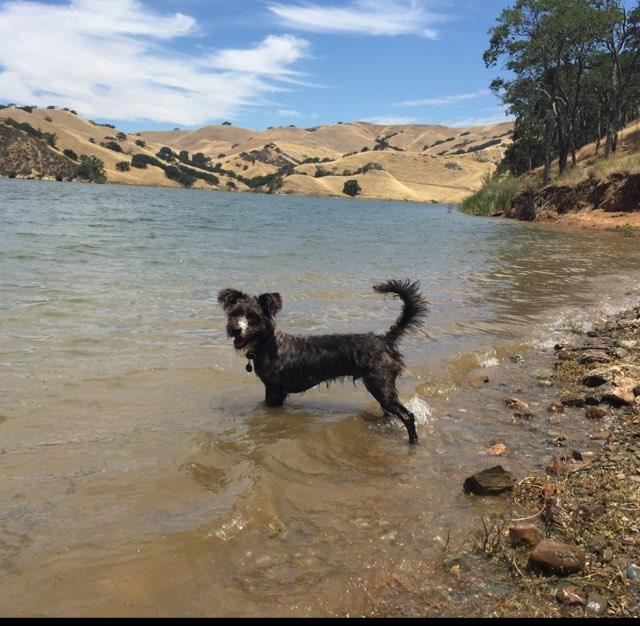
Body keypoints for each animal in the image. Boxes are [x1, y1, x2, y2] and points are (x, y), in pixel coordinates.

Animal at [218, 278, 428, 444]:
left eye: (253, 317)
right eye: (235, 313)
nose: (235, 329)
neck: (268, 346)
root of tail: (384, 339)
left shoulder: (274, 390)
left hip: (380, 384)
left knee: (408, 416)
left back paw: (413, 442)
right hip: (382, 387)